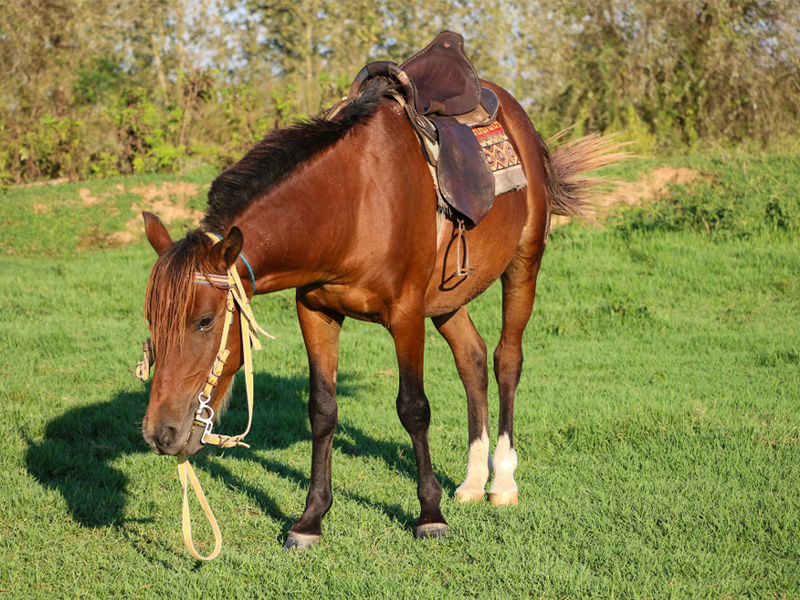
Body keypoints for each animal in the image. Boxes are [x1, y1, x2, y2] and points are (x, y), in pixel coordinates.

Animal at [141, 74, 620, 548]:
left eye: (205, 322)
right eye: (151, 322)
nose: (159, 434)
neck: (352, 205)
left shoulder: (405, 315)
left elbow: (414, 408)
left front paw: (430, 515)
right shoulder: (315, 313)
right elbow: (323, 411)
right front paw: (310, 519)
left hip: (524, 264)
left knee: (507, 360)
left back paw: (501, 481)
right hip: (447, 300)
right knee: (472, 359)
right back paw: (471, 481)